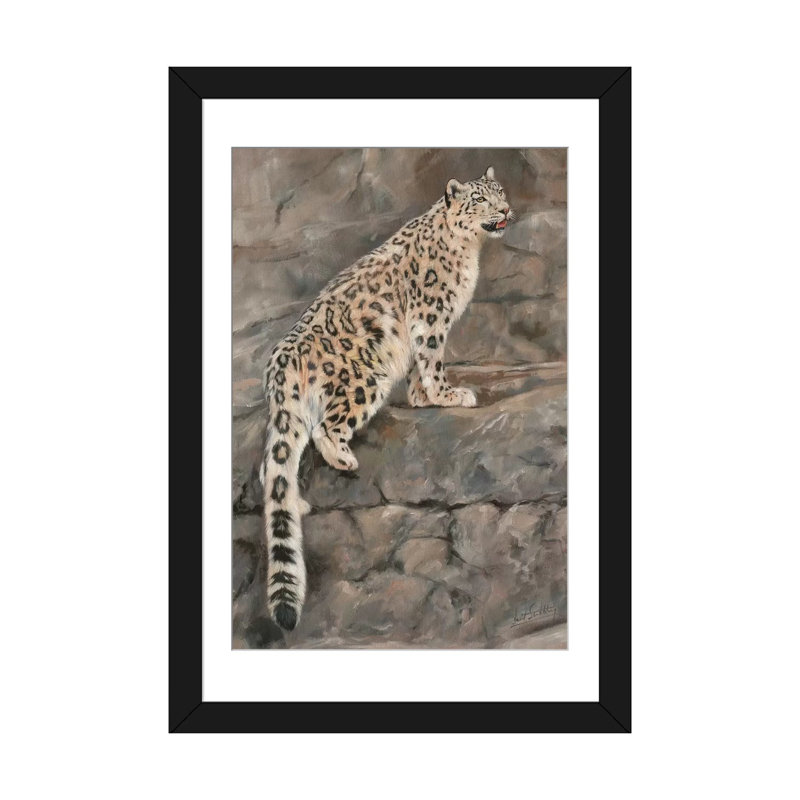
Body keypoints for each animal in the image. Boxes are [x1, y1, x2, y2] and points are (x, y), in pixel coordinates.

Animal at [259, 167, 513, 631]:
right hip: (364, 377)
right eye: (481, 200)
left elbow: (418, 365)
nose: (505, 210)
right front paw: (448, 394)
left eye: (501, 193)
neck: (469, 251)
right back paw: (344, 458)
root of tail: (282, 359)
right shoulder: (431, 315)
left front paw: (422, 397)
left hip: (294, 414)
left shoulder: (425, 325)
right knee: (327, 427)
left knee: (275, 462)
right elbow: (432, 357)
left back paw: (297, 502)